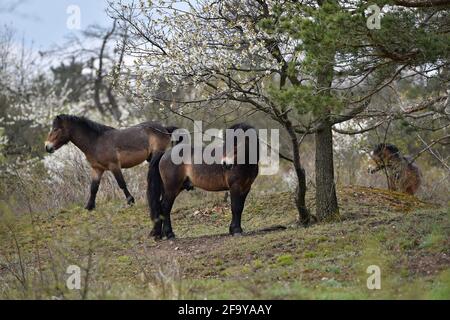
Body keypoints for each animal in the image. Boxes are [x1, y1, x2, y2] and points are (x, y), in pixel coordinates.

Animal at [44, 114, 174, 210]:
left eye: (56, 129)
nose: (47, 147)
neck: (95, 142)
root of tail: (164, 129)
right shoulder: (97, 169)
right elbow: (93, 188)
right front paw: (89, 207)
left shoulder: (114, 166)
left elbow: (121, 183)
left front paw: (130, 201)